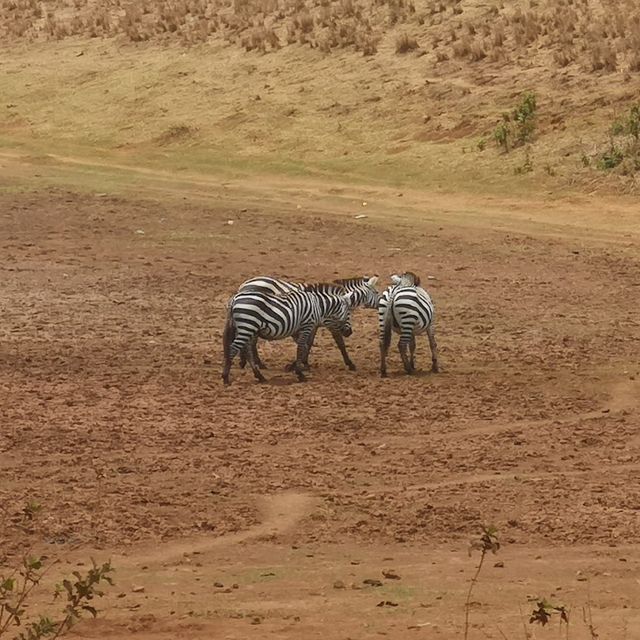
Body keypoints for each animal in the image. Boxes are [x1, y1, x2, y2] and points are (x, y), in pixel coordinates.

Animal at [222, 282, 356, 382]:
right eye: (349, 313)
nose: (349, 332)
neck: (318, 306)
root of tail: (235, 298)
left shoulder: (304, 328)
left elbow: (306, 346)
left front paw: (297, 366)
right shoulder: (307, 325)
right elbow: (302, 347)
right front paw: (299, 372)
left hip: (248, 327)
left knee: (247, 349)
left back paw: (259, 376)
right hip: (248, 326)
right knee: (234, 348)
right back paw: (226, 377)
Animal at [234, 274, 378, 370]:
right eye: (376, 292)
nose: (381, 301)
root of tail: (244, 284)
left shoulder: (314, 324)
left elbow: (308, 343)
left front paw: (303, 363)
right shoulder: (330, 324)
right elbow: (339, 343)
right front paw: (350, 364)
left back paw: (248, 362)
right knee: (251, 340)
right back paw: (256, 363)